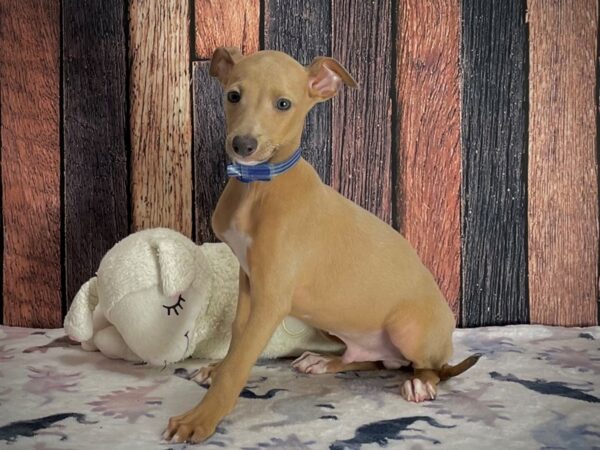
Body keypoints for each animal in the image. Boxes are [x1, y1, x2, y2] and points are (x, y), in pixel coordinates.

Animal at [163, 48, 478, 442]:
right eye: (233, 95)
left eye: (283, 104)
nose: (243, 145)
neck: (259, 186)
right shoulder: (249, 282)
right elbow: (237, 336)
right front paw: (216, 369)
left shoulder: (272, 299)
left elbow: (242, 361)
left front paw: (201, 417)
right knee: (373, 360)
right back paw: (324, 360)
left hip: (408, 329)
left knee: (428, 367)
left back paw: (420, 383)